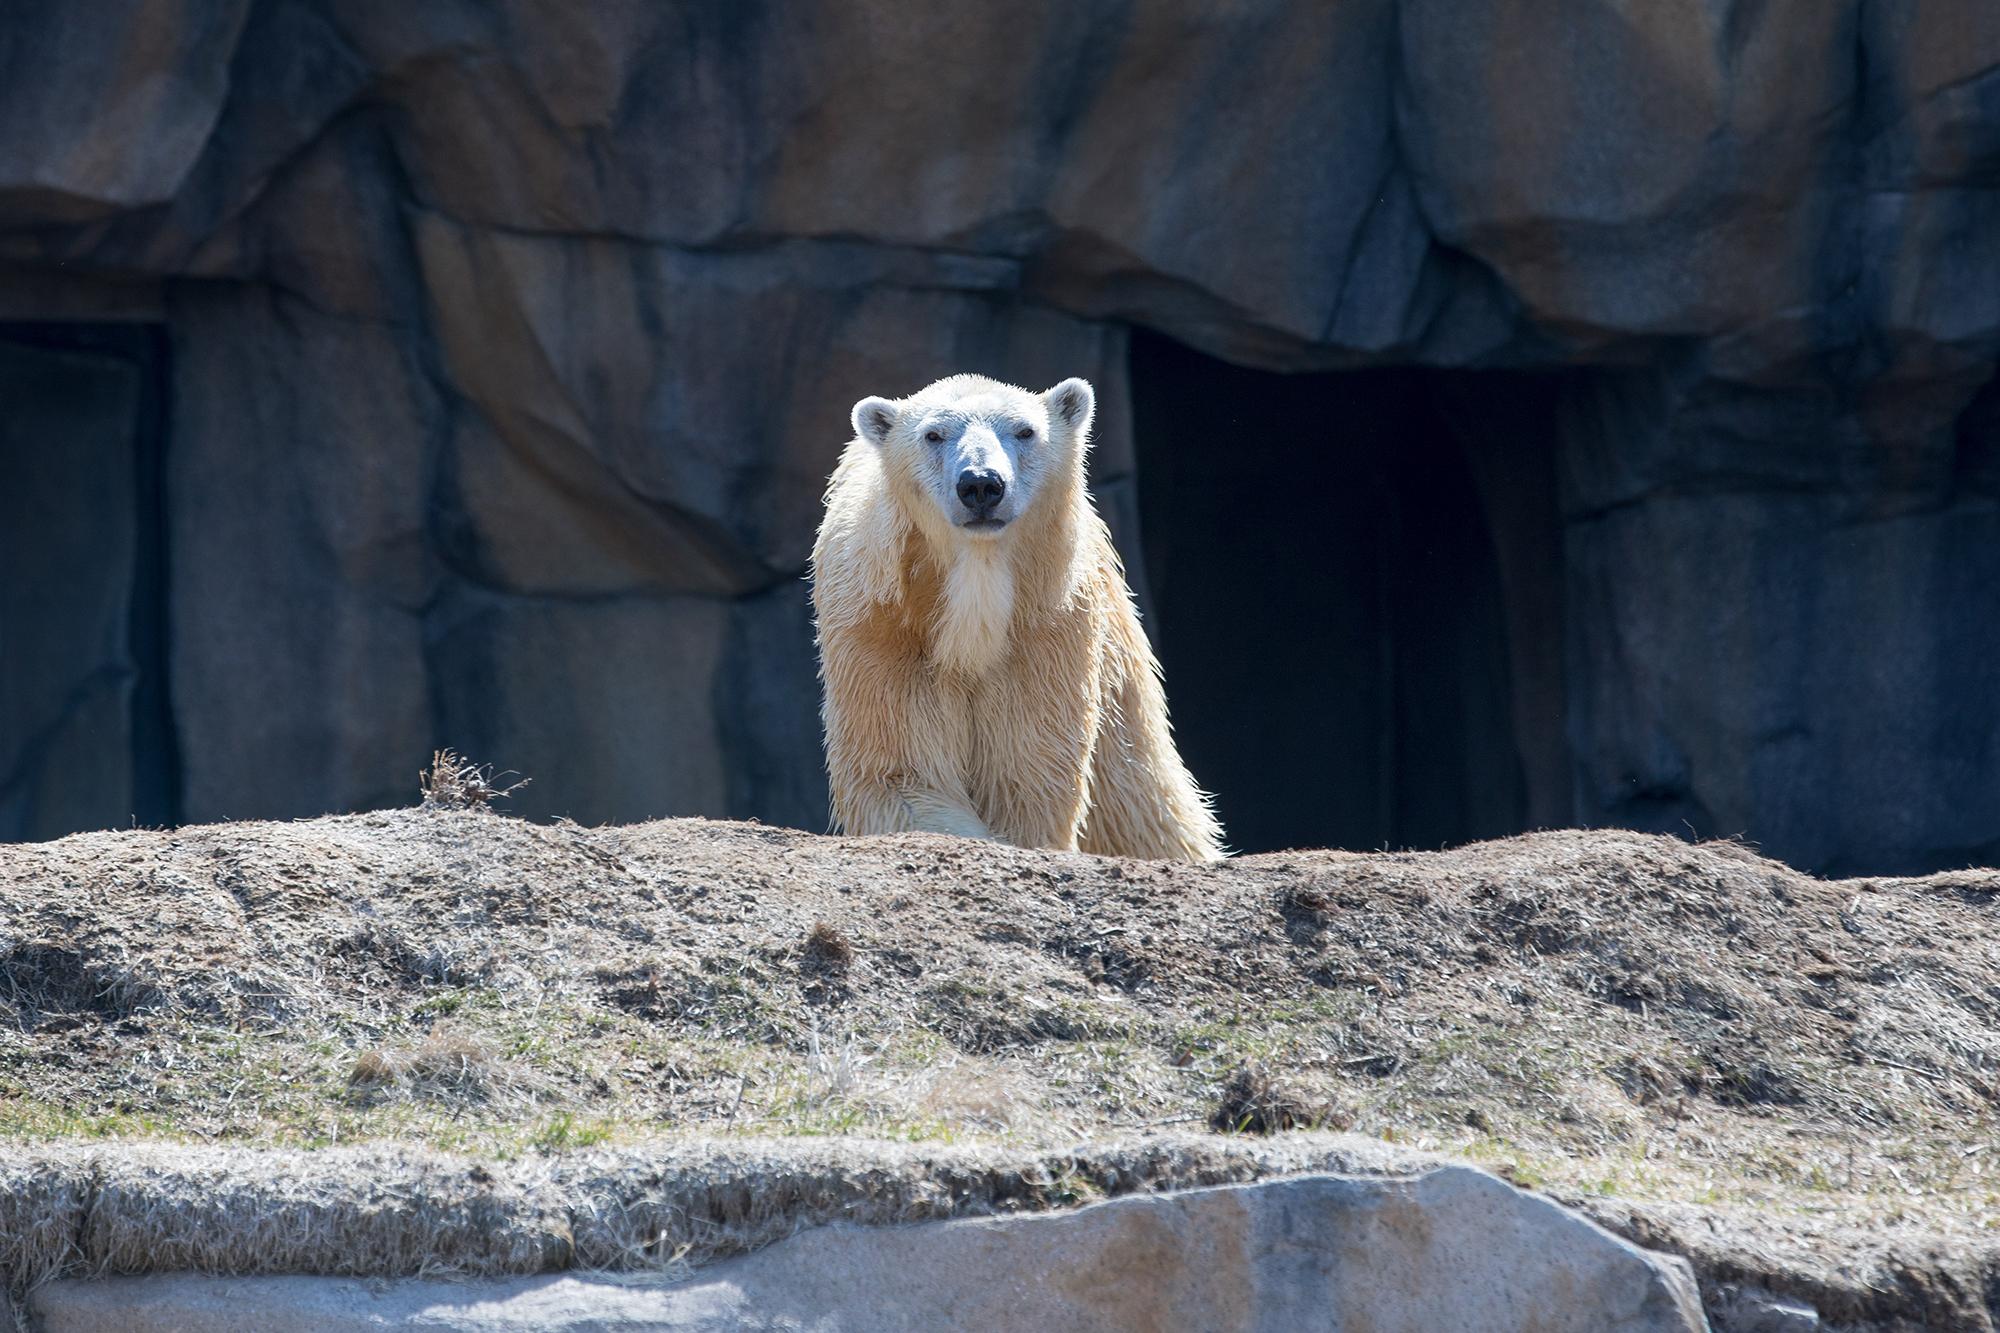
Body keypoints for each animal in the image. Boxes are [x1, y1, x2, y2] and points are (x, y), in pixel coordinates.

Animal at [808, 370, 1216, 860]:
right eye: (933, 434)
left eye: (1025, 431)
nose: (981, 484)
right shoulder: (883, 626)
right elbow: (901, 771)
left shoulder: (1047, 627)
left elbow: (1026, 772)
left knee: (1140, 799)